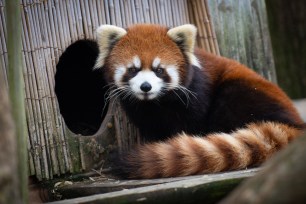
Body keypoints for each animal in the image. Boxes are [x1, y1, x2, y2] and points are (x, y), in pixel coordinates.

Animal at [94, 23, 304, 178]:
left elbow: (193, 122)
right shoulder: (141, 111)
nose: (146, 87)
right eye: (133, 69)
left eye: (159, 70)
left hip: (244, 93)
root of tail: (295, 123)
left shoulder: (197, 93)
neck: (157, 103)